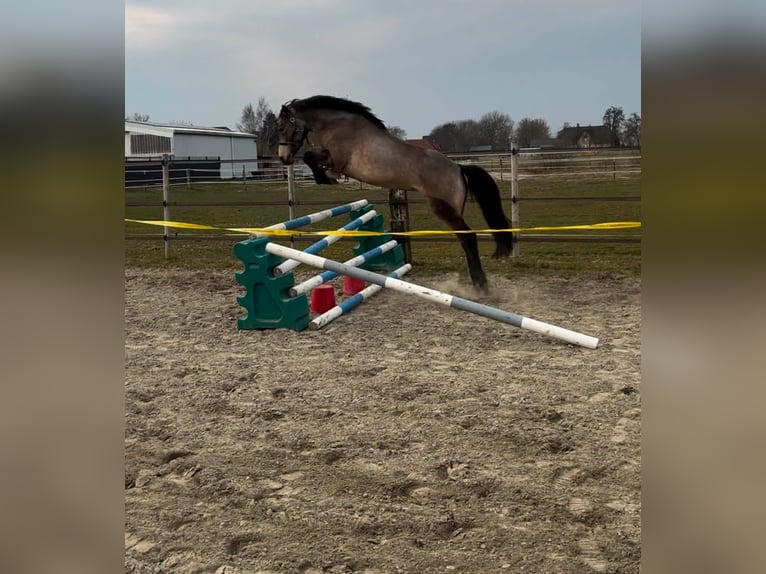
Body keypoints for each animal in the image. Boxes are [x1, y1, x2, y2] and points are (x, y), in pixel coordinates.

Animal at [277, 95, 514, 293]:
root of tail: (458, 168)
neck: (339, 125)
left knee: (468, 238)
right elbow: (310, 157)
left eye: (282, 127)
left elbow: (310, 157)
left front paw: (325, 178)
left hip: (442, 207)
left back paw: (480, 286)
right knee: (465, 240)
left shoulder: (337, 161)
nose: (283, 158)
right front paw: (323, 177)